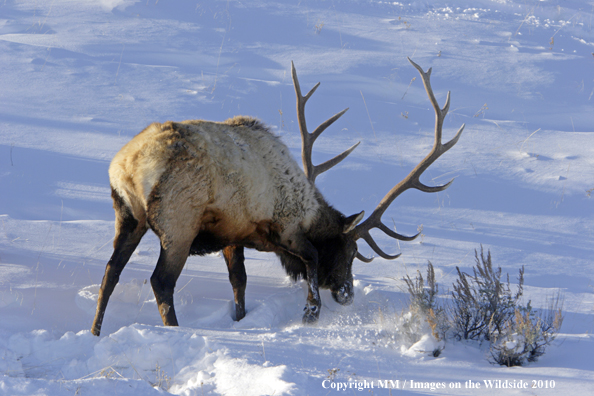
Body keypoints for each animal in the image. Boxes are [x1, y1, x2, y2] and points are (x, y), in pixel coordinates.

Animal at [89, 58, 462, 336]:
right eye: (351, 252)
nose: (347, 294)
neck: (309, 210)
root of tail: (127, 165)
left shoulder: (233, 233)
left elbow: (239, 280)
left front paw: (240, 318)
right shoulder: (284, 228)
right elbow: (311, 258)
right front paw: (310, 312)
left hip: (128, 215)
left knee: (111, 272)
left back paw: (95, 330)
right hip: (178, 220)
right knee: (161, 281)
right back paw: (175, 330)